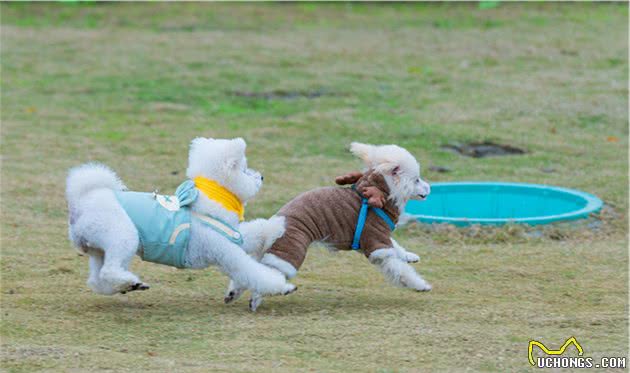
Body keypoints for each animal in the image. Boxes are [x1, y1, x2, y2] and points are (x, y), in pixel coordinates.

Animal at [65, 138, 298, 298]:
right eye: (245, 169)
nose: (261, 176)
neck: (210, 201)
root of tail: (81, 201)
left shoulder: (233, 234)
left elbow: (254, 231)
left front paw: (276, 226)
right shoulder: (226, 252)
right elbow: (254, 273)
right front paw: (283, 287)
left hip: (98, 249)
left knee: (96, 279)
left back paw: (126, 286)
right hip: (122, 235)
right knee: (108, 270)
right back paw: (129, 282)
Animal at [227, 142, 434, 310]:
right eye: (416, 179)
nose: (430, 188)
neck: (375, 192)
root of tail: (275, 223)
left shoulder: (378, 238)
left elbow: (397, 247)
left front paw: (409, 256)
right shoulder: (376, 242)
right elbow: (401, 270)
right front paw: (420, 285)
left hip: (269, 250)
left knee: (255, 271)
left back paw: (233, 293)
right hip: (290, 252)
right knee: (270, 275)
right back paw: (256, 299)